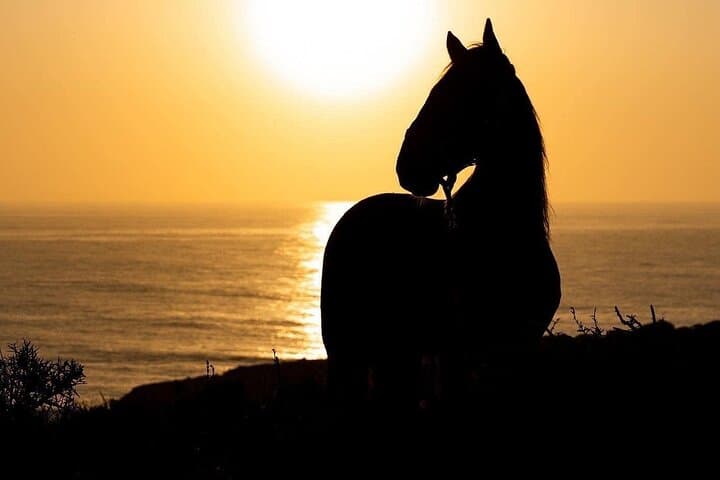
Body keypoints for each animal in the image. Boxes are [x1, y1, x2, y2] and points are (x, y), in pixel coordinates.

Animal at [321, 19, 561, 404]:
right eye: (436, 91)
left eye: (463, 94)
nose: (406, 165)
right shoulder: (456, 354)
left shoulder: (514, 352)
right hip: (347, 350)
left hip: (397, 352)